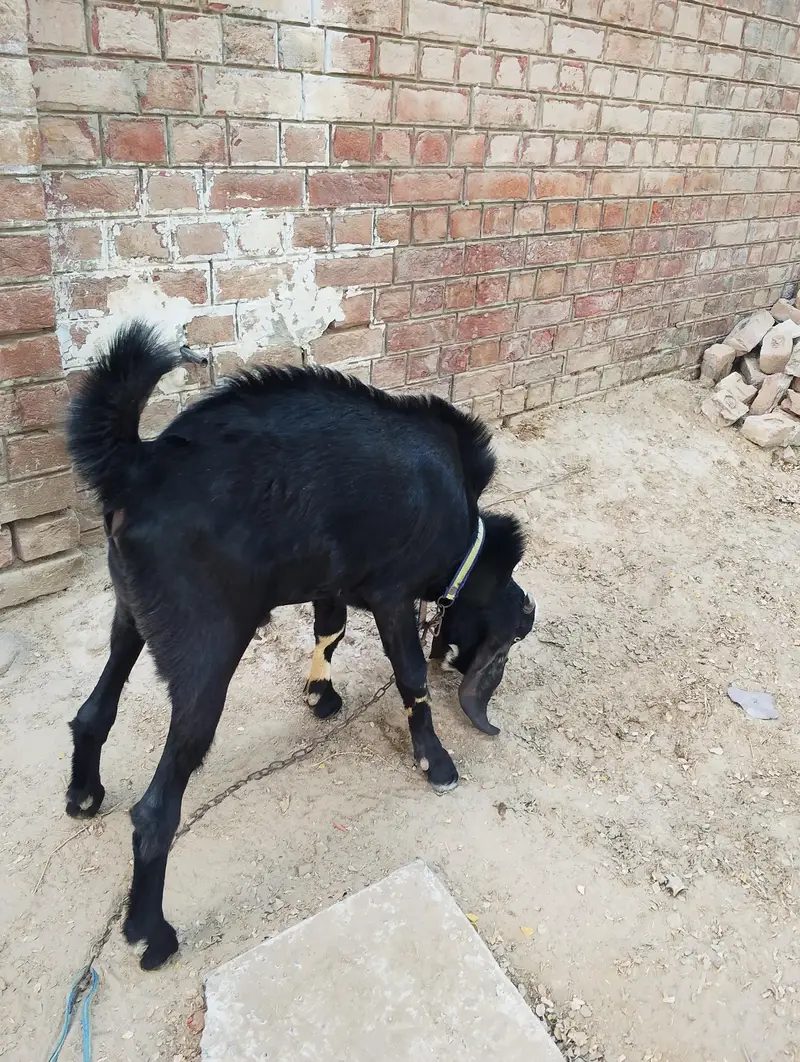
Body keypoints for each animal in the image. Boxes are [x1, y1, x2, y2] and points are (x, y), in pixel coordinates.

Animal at [65, 321, 536, 970]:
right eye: (510, 641)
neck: (462, 532)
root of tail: (139, 466)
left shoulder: (331, 582)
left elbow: (328, 630)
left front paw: (321, 695)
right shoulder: (391, 595)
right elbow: (411, 678)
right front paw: (434, 759)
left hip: (129, 619)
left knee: (93, 713)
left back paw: (84, 794)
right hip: (207, 655)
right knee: (155, 814)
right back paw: (151, 933)